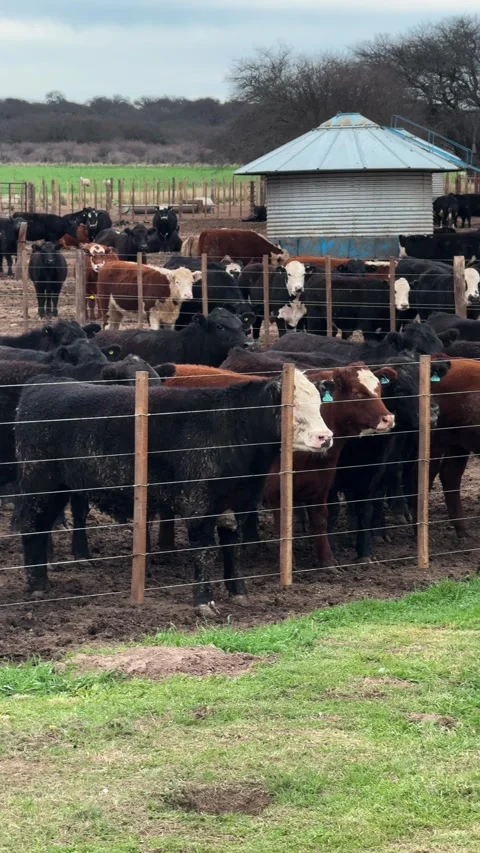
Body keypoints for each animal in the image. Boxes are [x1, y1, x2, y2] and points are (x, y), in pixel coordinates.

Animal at [15, 370, 332, 611]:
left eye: (319, 405)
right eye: (292, 407)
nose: (325, 437)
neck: (229, 429)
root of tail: (44, 383)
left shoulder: (239, 503)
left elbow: (233, 547)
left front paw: (238, 592)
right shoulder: (198, 504)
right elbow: (203, 550)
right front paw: (204, 601)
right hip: (40, 484)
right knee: (32, 527)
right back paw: (36, 585)